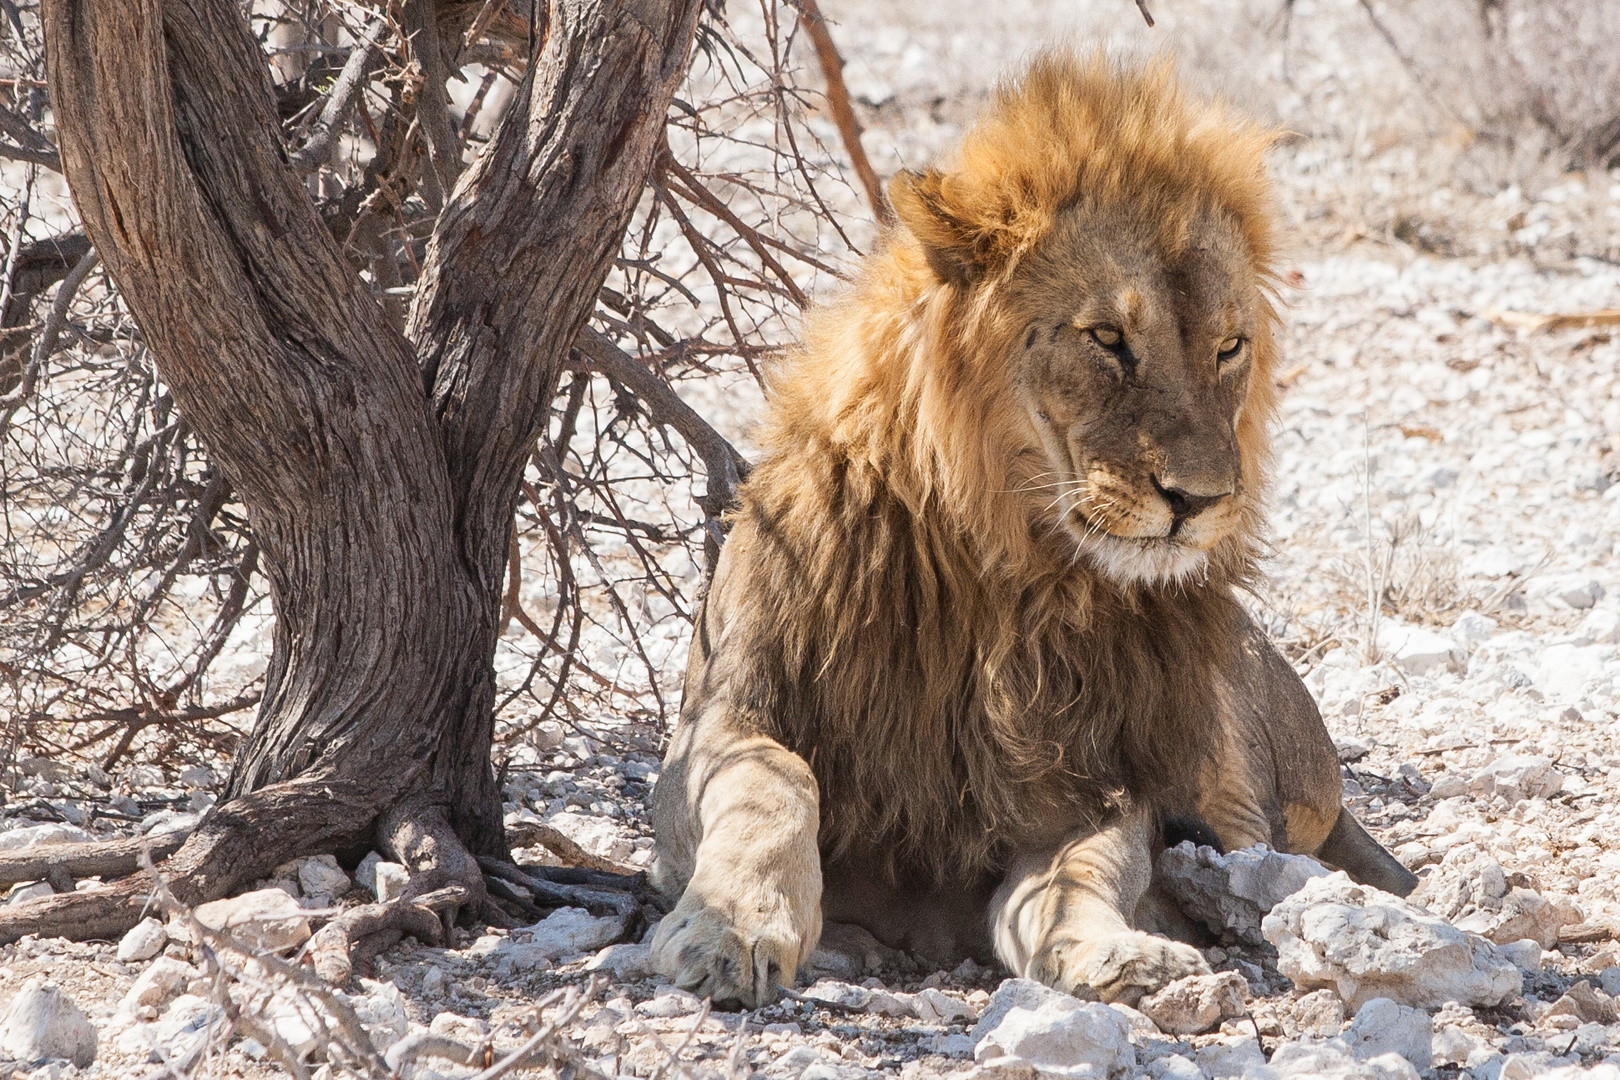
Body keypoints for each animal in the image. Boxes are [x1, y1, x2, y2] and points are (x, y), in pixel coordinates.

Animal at [651, 50, 1412, 1010]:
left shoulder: (1081, 786)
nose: (1202, 500)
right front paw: (732, 928)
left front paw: (1118, 954)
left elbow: (1077, 878)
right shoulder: (719, 720)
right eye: (1107, 337)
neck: (1001, 566)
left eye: (1229, 347)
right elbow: (772, 784)